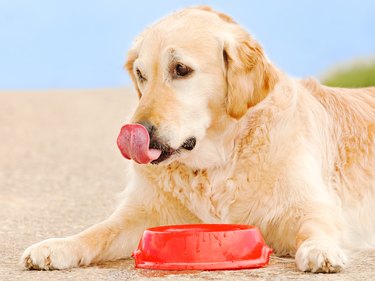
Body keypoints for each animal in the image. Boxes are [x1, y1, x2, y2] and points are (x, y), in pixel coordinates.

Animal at [21, 6, 375, 272]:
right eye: (140, 74)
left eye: (181, 69)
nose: (136, 132)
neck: (219, 162)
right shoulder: (142, 215)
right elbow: (98, 231)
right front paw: (56, 246)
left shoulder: (309, 205)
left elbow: (317, 226)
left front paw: (321, 250)